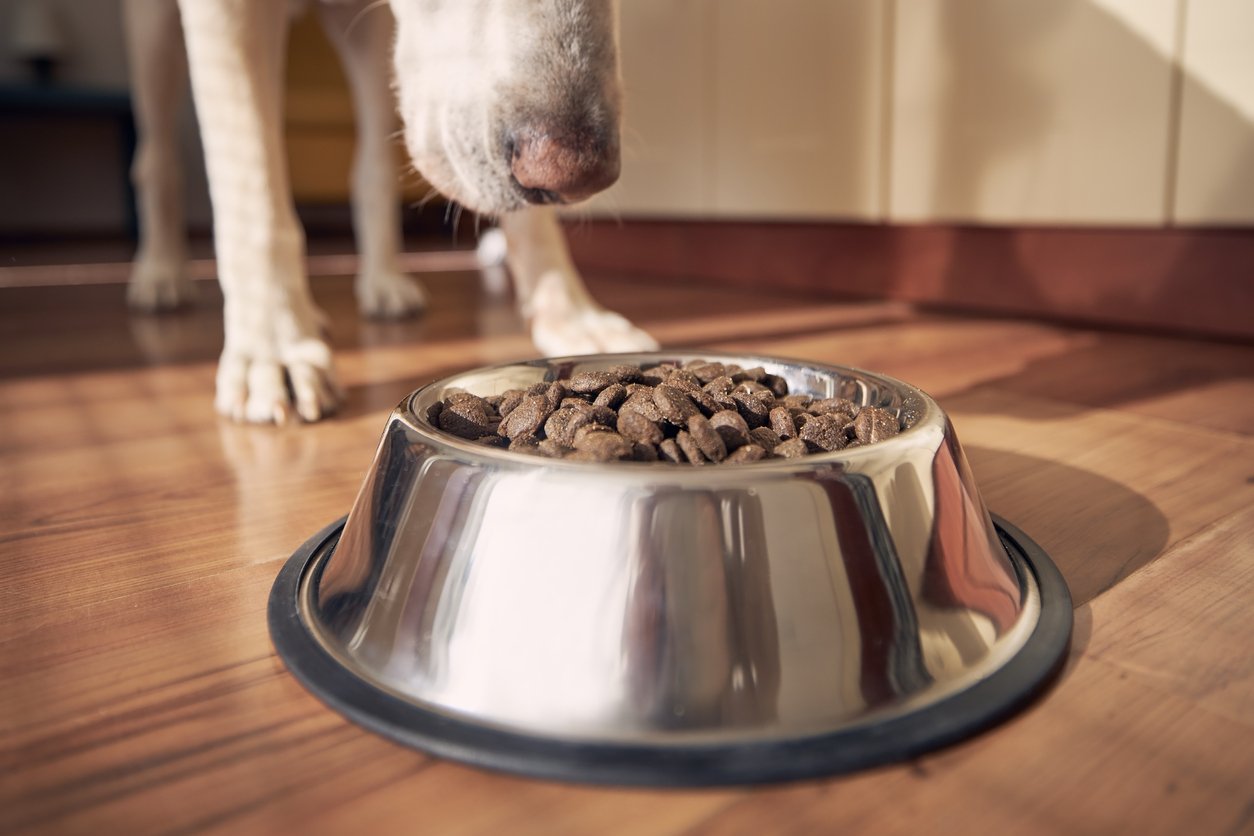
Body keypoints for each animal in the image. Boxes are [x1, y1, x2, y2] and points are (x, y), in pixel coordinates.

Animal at [122, 0, 662, 426]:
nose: (580, 177)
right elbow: (254, 190)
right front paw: (274, 345)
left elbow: (527, 214)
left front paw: (571, 314)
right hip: (153, 31)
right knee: (157, 161)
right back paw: (162, 273)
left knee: (374, 171)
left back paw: (384, 284)